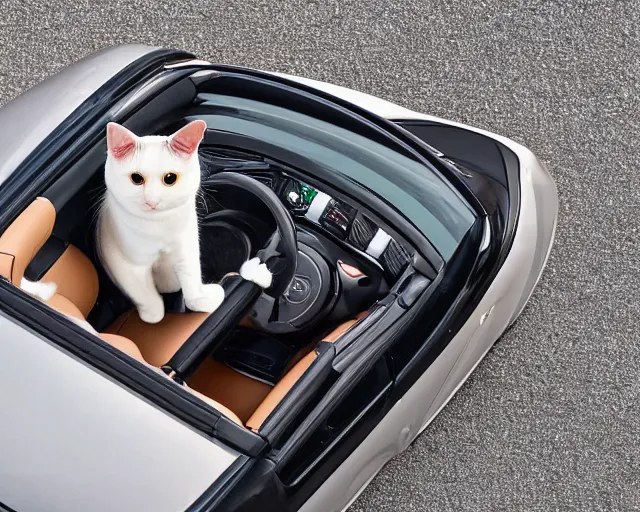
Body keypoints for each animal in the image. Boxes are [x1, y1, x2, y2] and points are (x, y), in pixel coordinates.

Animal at [96, 120, 272, 324]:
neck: (158, 226)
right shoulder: (125, 265)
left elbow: (192, 284)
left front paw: (205, 299)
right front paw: (152, 315)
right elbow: (145, 297)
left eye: (170, 178)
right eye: (136, 178)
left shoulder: (187, 248)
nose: (152, 201)